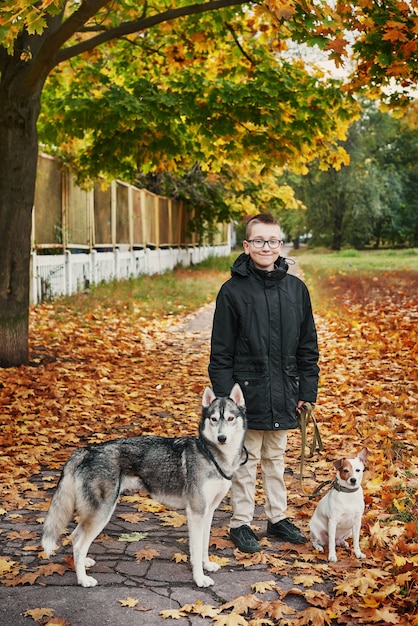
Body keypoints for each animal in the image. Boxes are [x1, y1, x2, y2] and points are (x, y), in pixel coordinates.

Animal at [42, 382, 247, 588]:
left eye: (230, 418)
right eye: (214, 419)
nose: (222, 438)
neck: (211, 454)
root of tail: (87, 450)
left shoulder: (208, 512)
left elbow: (204, 546)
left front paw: (207, 565)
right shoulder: (196, 513)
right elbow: (195, 551)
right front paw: (199, 578)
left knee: (75, 536)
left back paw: (84, 563)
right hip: (102, 512)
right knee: (78, 542)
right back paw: (83, 579)